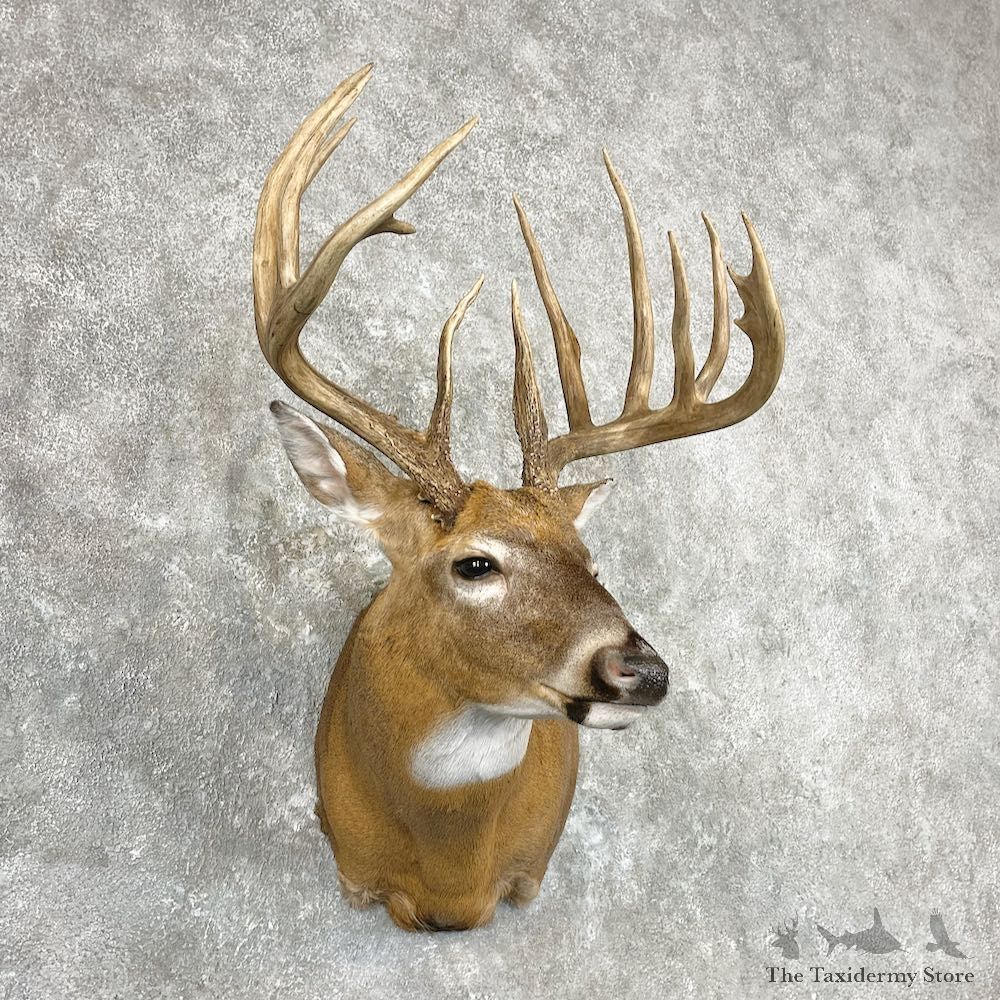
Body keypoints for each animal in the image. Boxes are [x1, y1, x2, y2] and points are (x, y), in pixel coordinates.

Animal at [253, 64, 784, 932]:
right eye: (476, 564)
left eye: (590, 559)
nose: (643, 670)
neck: (454, 879)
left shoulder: (529, 875)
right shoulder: (357, 874)